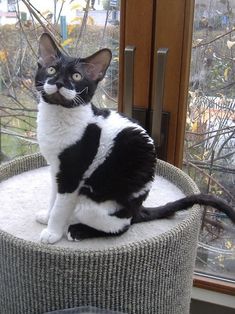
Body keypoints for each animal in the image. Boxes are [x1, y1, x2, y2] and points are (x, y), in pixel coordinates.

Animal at [35, 33, 235, 245]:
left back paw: (79, 230)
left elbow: (60, 206)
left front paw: (52, 232)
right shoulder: (56, 170)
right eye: (51, 69)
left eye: (76, 76)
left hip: (92, 204)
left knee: (121, 228)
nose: (58, 83)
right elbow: (53, 197)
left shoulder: (72, 175)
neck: (57, 116)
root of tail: (137, 210)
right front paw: (47, 217)